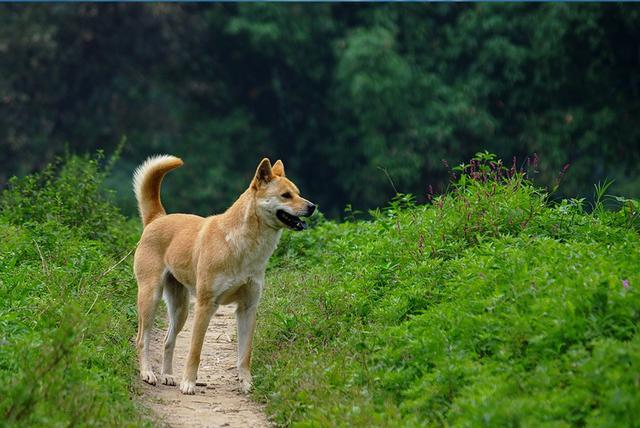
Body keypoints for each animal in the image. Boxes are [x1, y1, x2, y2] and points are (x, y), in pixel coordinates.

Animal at [132, 156, 316, 394]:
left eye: (298, 192)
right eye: (286, 195)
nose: (312, 207)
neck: (242, 245)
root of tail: (157, 218)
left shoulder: (248, 308)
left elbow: (245, 354)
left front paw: (247, 383)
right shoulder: (205, 305)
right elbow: (195, 351)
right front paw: (189, 383)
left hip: (180, 309)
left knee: (167, 341)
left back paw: (168, 376)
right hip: (151, 297)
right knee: (142, 339)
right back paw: (148, 373)